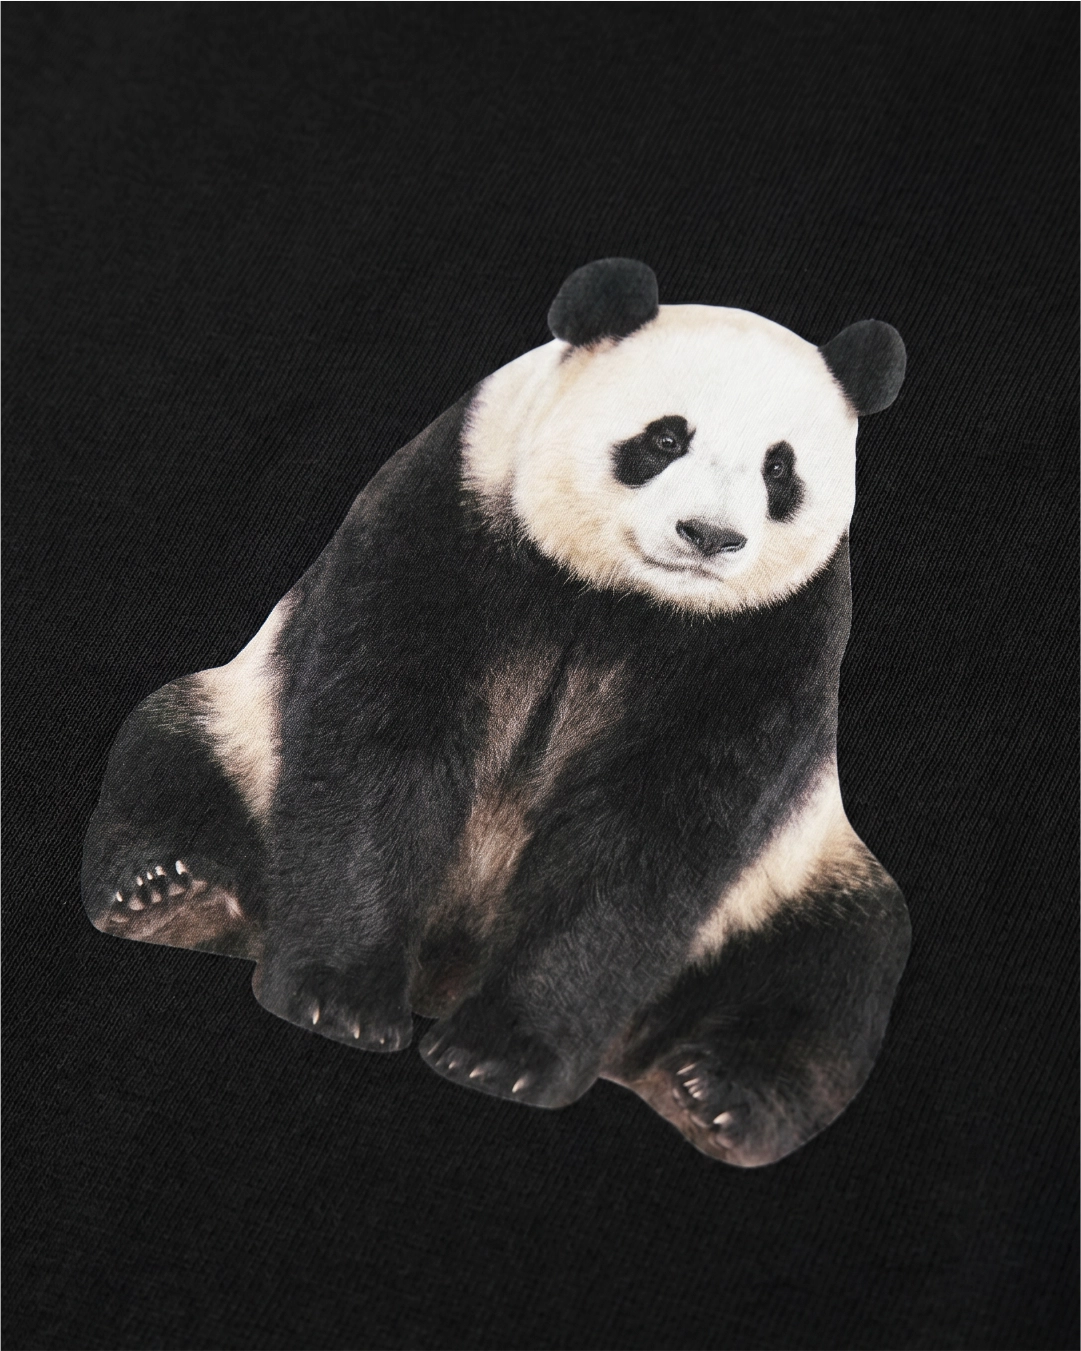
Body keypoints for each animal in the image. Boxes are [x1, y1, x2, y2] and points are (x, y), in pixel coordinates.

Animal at [82, 258, 911, 1167]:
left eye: (779, 471)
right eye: (665, 439)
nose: (709, 535)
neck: (622, 599)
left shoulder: (770, 638)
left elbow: (649, 838)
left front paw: (502, 1054)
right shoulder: (450, 516)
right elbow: (381, 746)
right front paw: (338, 999)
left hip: (798, 877)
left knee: (837, 964)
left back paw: (721, 1097)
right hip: (235, 718)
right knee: (164, 747)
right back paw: (164, 890)